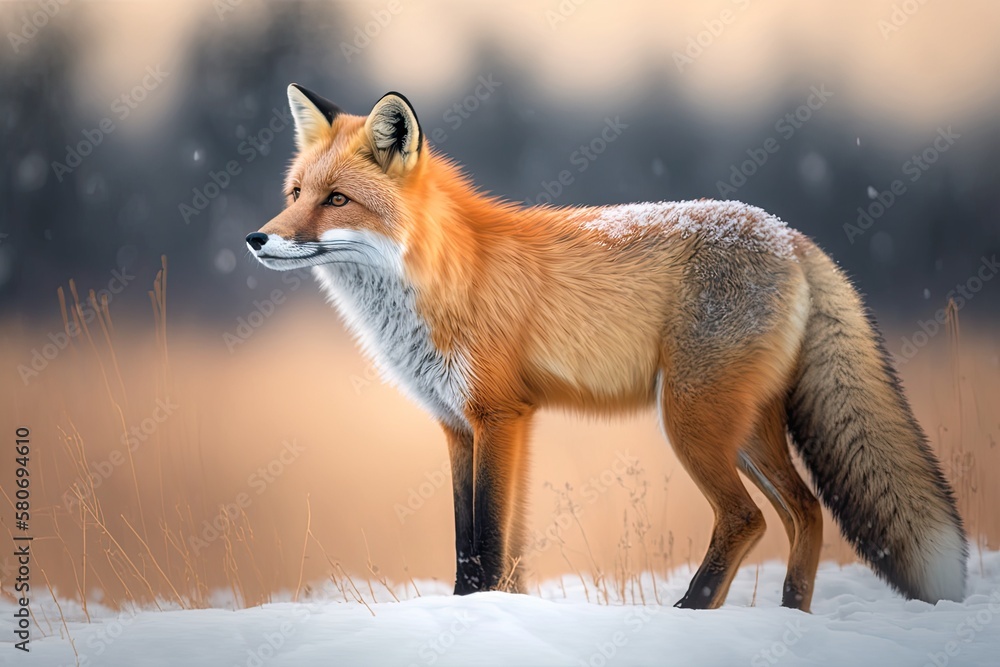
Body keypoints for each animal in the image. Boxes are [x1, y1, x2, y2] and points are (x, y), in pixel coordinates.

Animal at [246, 84, 967, 611]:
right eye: (296, 194)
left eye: (337, 200)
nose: (257, 238)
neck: (444, 278)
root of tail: (790, 233)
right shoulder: (459, 426)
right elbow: (471, 543)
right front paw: (474, 611)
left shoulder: (499, 416)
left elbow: (489, 536)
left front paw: (482, 617)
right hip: (746, 430)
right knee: (807, 513)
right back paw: (792, 617)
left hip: (693, 422)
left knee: (747, 519)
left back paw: (691, 613)